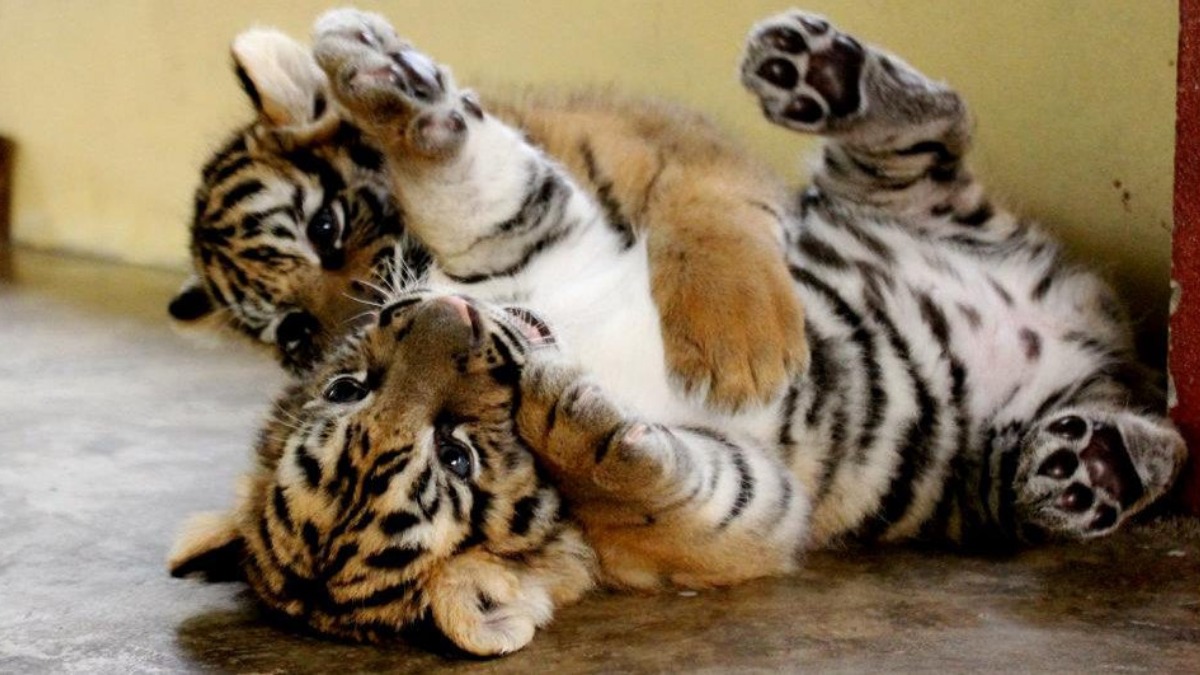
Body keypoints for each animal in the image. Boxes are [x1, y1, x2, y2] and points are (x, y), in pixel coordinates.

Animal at [168, 19, 805, 409]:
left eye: (325, 229)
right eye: (295, 332)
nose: (362, 340)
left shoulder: (688, 146)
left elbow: (709, 216)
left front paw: (736, 345)